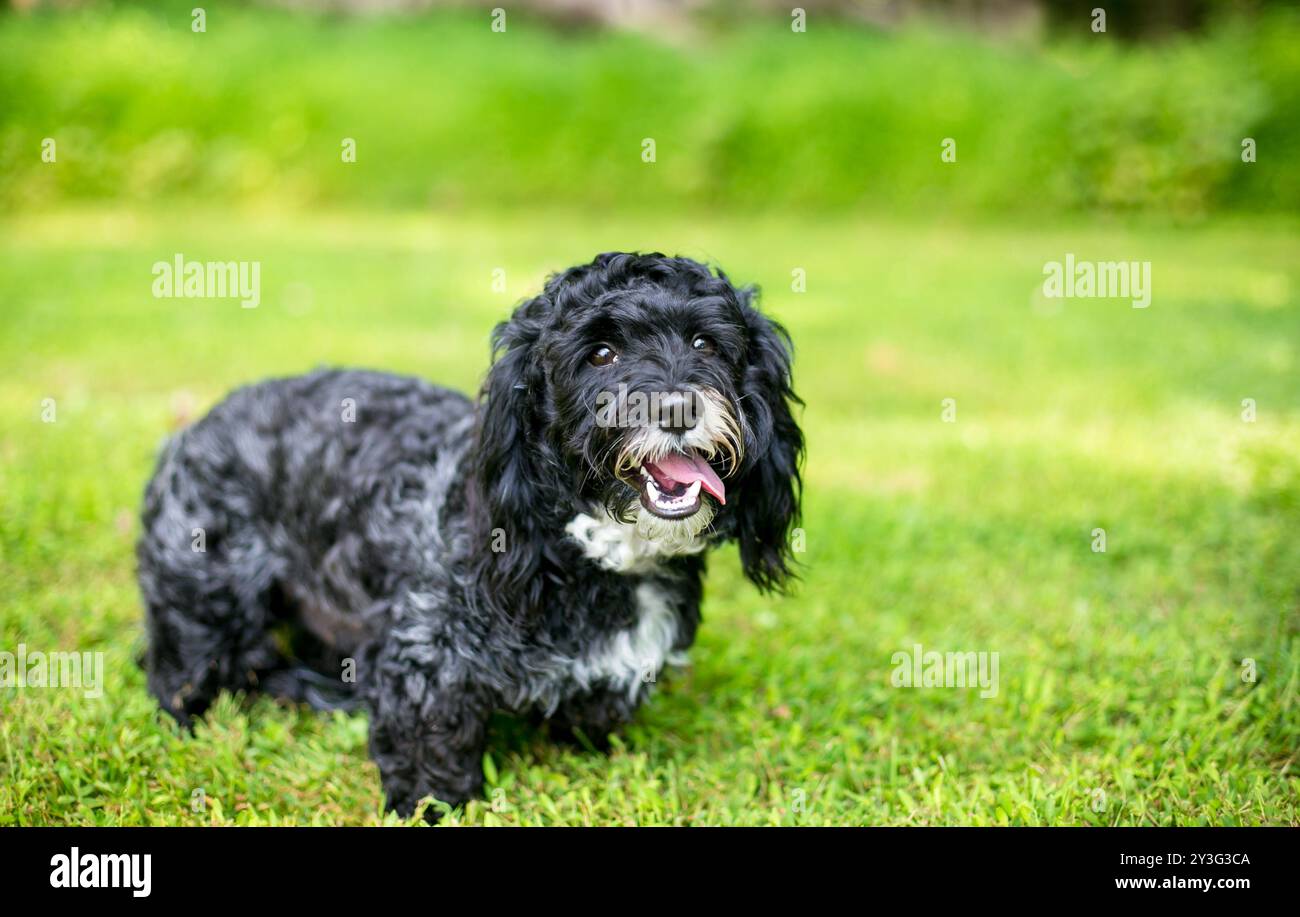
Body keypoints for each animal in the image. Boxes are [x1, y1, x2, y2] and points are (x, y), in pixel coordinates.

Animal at [134, 249, 800, 816]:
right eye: (601, 353)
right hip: (209, 591)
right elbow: (431, 749)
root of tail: (195, 425)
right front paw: (434, 805)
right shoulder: (425, 658)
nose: (677, 407)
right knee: (181, 670)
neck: (586, 552)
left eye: (705, 342)